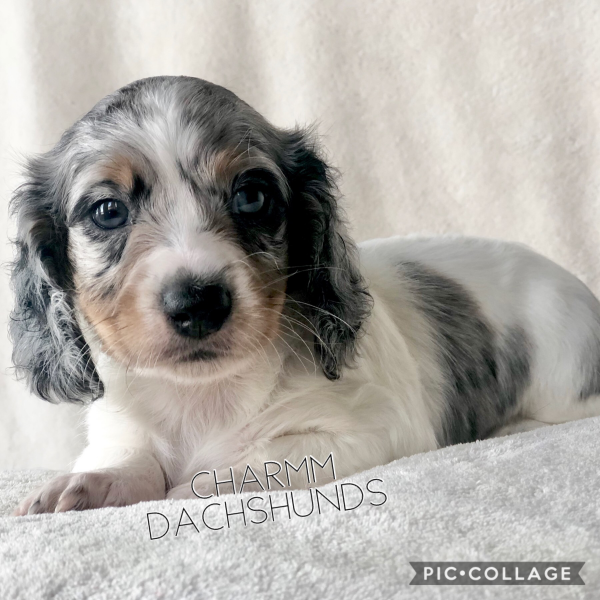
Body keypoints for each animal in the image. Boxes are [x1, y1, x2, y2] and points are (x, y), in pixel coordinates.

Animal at [10, 76, 600, 516]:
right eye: (108, 210)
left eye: (252, 196)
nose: (197, 303)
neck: (203, 398)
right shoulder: (121, 427)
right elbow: (129, 458)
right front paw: (91, 483)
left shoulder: (366, 433)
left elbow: (249, 462)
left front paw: (196, 482)